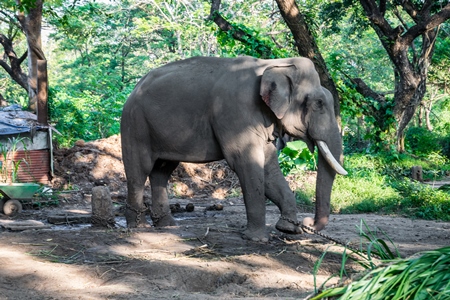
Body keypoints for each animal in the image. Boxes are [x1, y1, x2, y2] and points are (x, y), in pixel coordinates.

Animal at [121, 55, 346, 241]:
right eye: (319, 103)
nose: (308, 223)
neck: (273, 64)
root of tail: (135, 88)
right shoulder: (236, 112)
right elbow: (246, 163)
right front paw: (257, 239)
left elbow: (269, 168)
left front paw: (288, 229)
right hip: (135, 124)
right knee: (139, 171)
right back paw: (139, 227)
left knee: (162, 171)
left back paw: (168, 226)